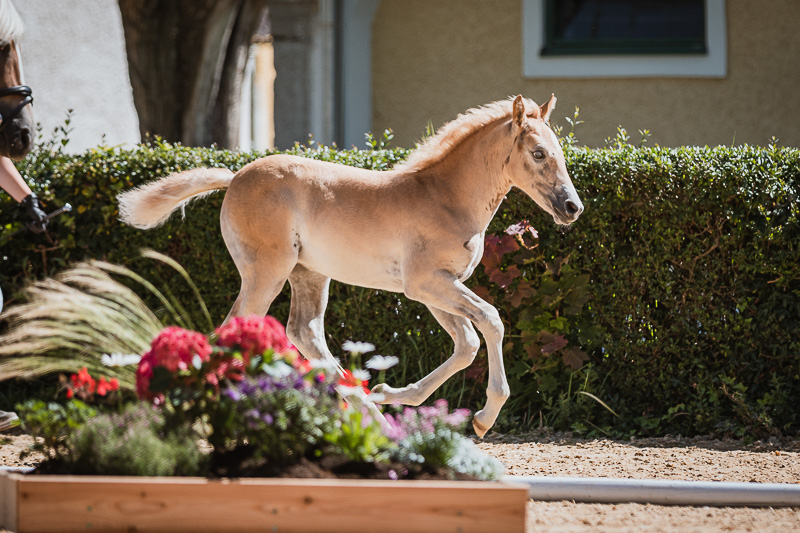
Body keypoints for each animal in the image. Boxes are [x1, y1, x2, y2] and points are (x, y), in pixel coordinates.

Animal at [118, 94, 584, 437]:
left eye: (559, 152)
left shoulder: (436, 288)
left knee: (304, 333)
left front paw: (389, 392)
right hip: (266, 272)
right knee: (233, 329)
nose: (572, 207)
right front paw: (485, 418)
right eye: (538, 153)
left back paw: (372, 416)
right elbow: (491, 320)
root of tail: (234, 178)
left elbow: (466, 343)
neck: (446, 199)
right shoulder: (426, 284)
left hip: (309, 275)